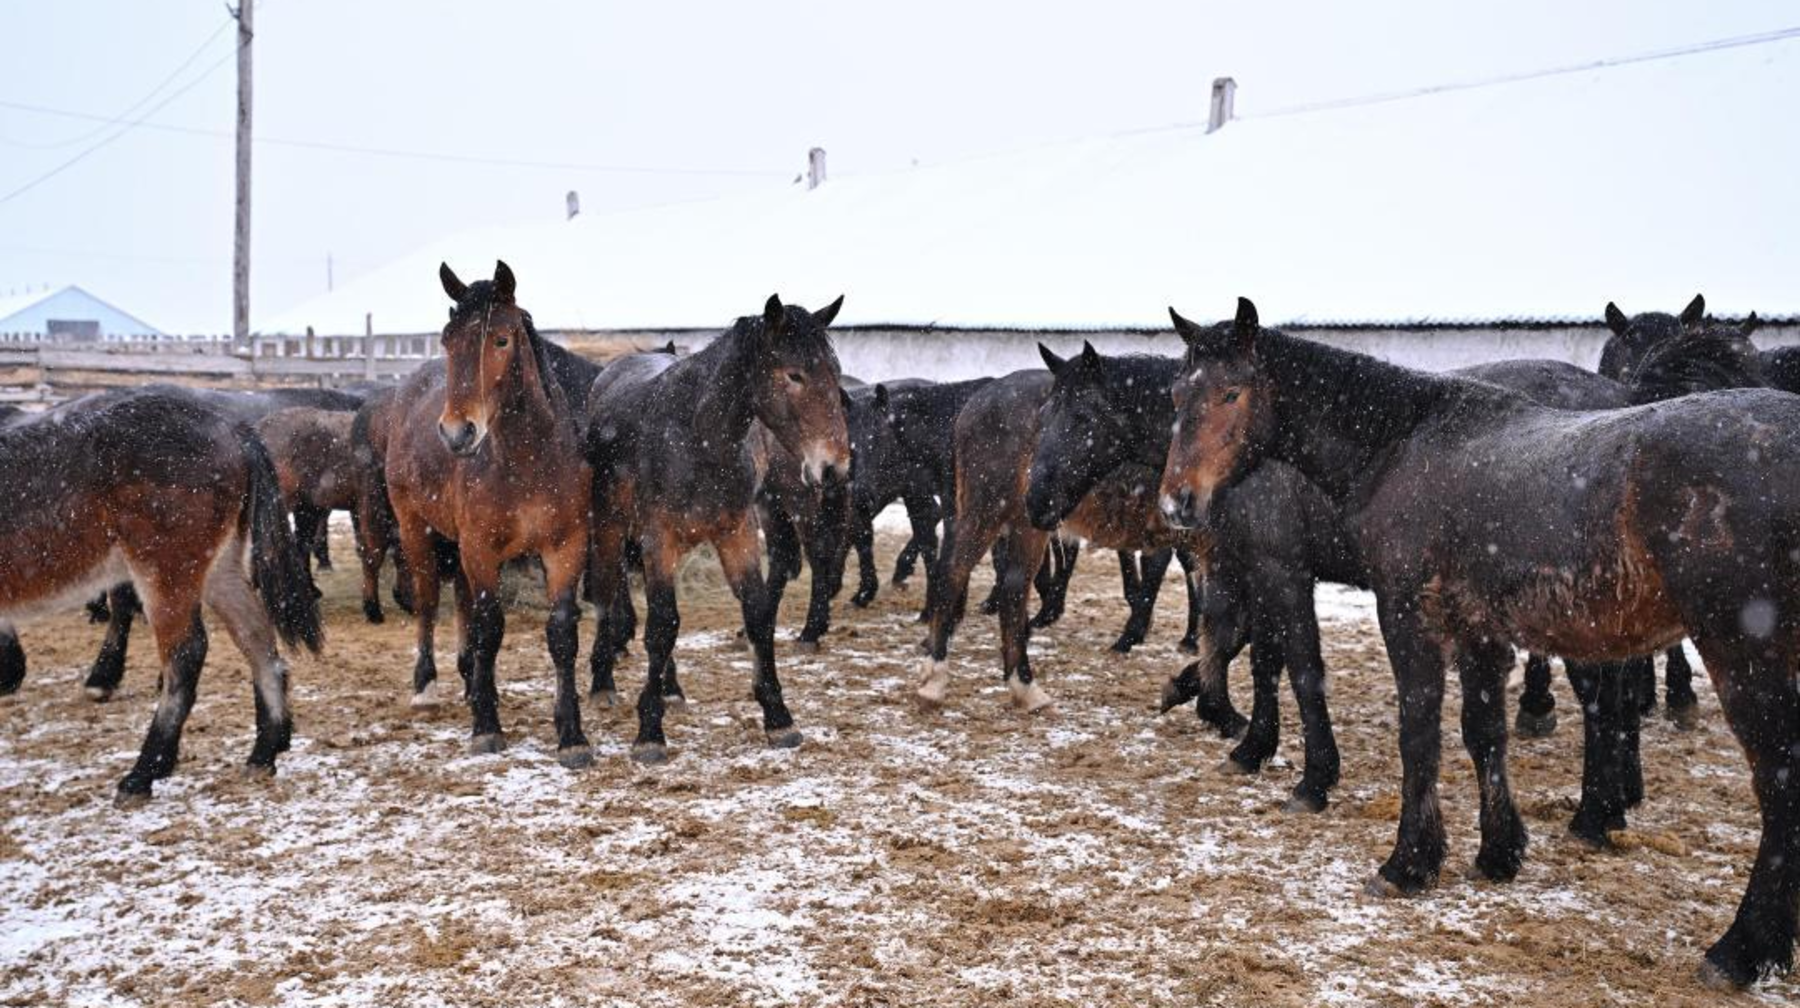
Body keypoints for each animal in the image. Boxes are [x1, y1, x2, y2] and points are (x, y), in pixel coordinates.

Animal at [0, 385, 320, 802]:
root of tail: (232, 427)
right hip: (217, 569)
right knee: (256, 638)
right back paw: (264, 751)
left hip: (164, 570)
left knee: (186, 654)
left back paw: (143, 772)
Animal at [383, 259, 594, 763]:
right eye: (447, 340)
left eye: (501, 339)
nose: (457, 432)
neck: (528, 460)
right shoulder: (481, 548)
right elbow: (490, 625)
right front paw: (486, 727)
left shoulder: (566, 546)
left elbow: (561, 631)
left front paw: (572, 734)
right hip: (415, 528)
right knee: (428, 600)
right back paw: (427, 687)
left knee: (461, 602)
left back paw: (469, 681)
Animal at [583, 295, 849, 759]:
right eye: (794, 374)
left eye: (833, 373)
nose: (834, 467)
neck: (697, 438)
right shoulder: (659, 540)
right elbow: (662, 625)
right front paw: (649, 730)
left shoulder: (736, 533)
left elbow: (757, 615)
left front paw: (778, 716)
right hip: (611, 526)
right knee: (607, 590)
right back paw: (604, 682)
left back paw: (671, 687)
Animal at [1152, 295, 1800, 986]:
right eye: (1177, 394)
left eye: (1232, 392)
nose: (1178, 501)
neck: (1400, 441)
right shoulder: (1477, 629)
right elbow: (1482, 732)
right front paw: (1498, 852)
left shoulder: (1387, 607)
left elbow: (1408, 728)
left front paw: (1404, 858)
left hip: (1742, 653)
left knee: (1773, 780)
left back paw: (1738, 948)